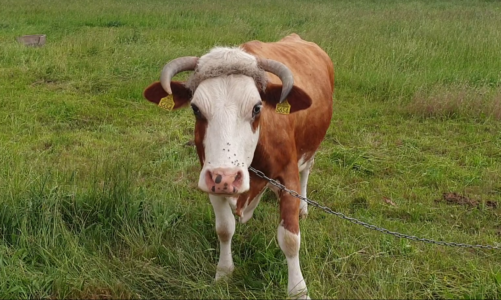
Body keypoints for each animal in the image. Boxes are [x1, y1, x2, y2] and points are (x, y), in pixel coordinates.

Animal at [143, 34, 334, 298]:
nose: (227, 176)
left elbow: (290, 239)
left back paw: (304, 207)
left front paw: (298, 290)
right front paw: (223, 273)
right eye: (195, 108)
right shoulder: (212, 180)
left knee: (308, 169)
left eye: (257, 107)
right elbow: (224, 228)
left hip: (312, 146)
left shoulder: (288, 177)